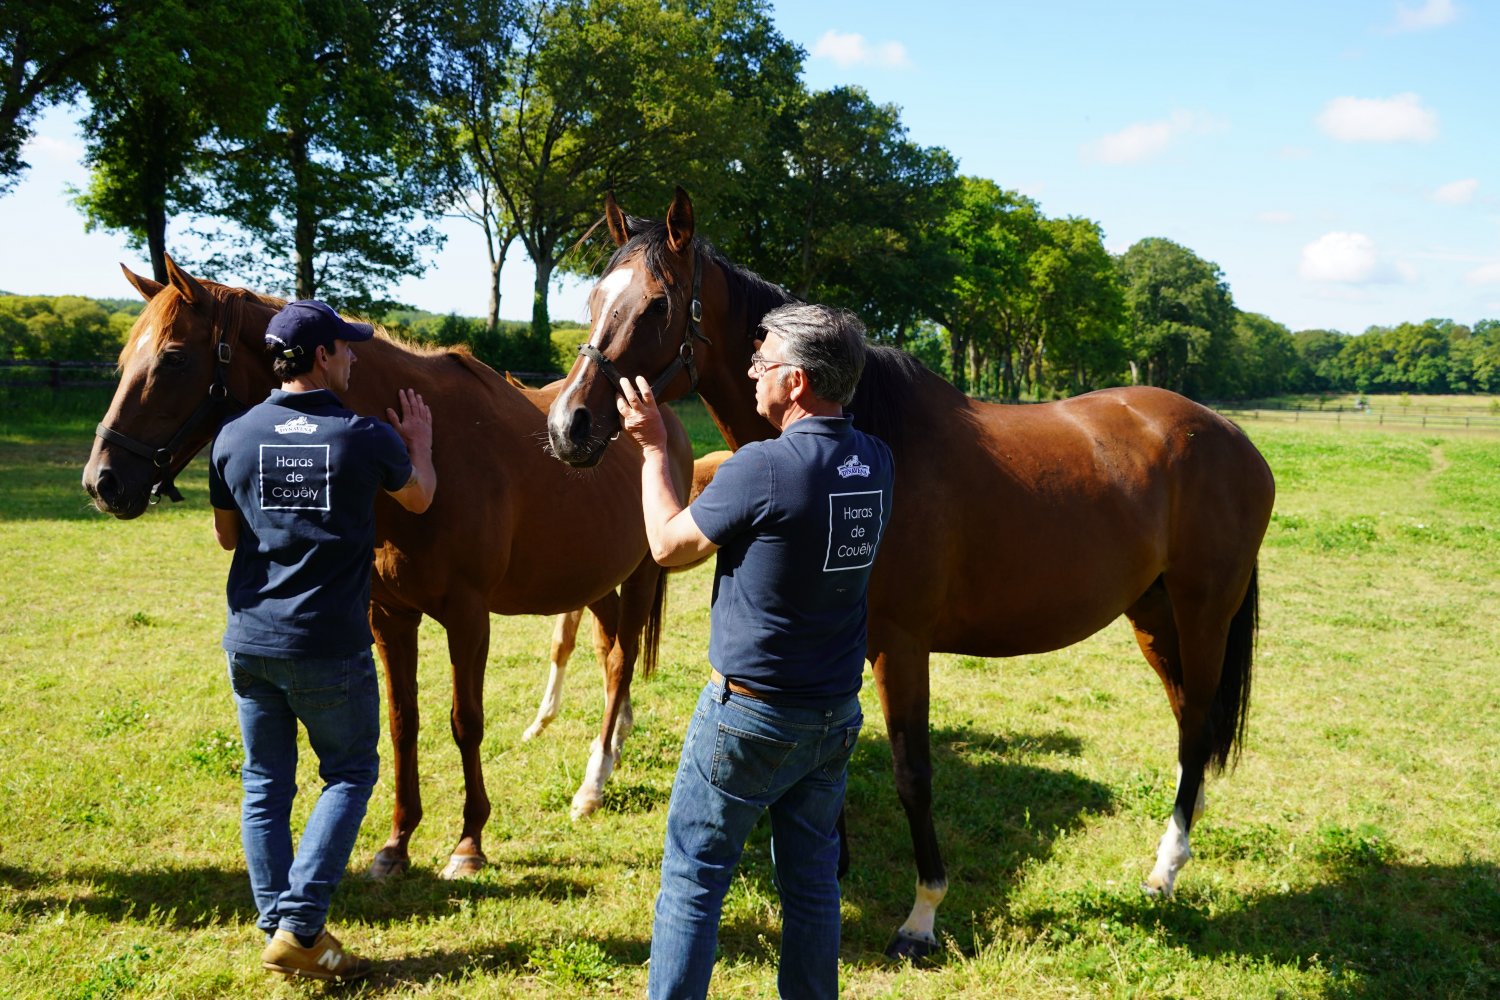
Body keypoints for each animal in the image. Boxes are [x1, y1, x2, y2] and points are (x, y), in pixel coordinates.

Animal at [82, 257, 694, 877]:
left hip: (640, 575)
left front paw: (469, 843)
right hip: (595, 580)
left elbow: (465, 721)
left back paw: (594, 783)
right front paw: (398, 843)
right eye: (125, 358)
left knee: (619, 661)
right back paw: (610, 743)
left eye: (174, 357)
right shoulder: (389, 616)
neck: (430, 453)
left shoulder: (468, 618)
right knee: (607, 650)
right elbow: (403, 723)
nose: (102, 481)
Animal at [543, 188, 1276, 959]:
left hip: (1203, 614)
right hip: (1153, 615)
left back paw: (1166, 869)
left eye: (657, 305)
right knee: (1188, 722)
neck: (872, 436)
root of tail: (1229, 436)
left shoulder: (902, 646)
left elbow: (912, 771)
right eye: (595, 297)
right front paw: (832, 872)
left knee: (1197, 723)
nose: (569, 426)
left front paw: (923, 912)